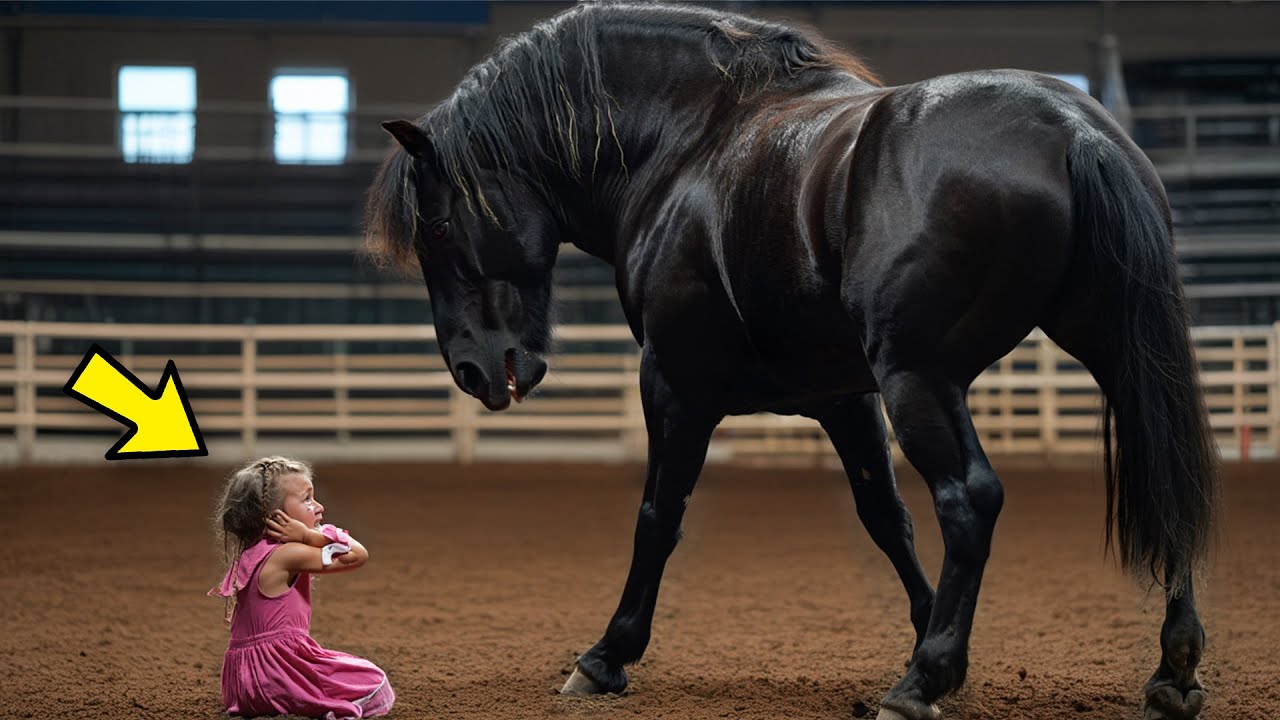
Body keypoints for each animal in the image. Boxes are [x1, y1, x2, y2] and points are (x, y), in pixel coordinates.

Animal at [363, 3, 1219, 719]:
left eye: (438, 228)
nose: (474, 371)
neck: (688, 144)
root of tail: (1073, 129)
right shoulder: (844, 398)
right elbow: (884, 517)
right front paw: (930, 639)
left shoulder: (674, 384)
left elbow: (658, 516)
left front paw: (606, 656)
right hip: (1116, 357)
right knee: (1163, 471)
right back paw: (1170, 671)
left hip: (921, 379)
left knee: (969, 500)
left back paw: (919, 685)